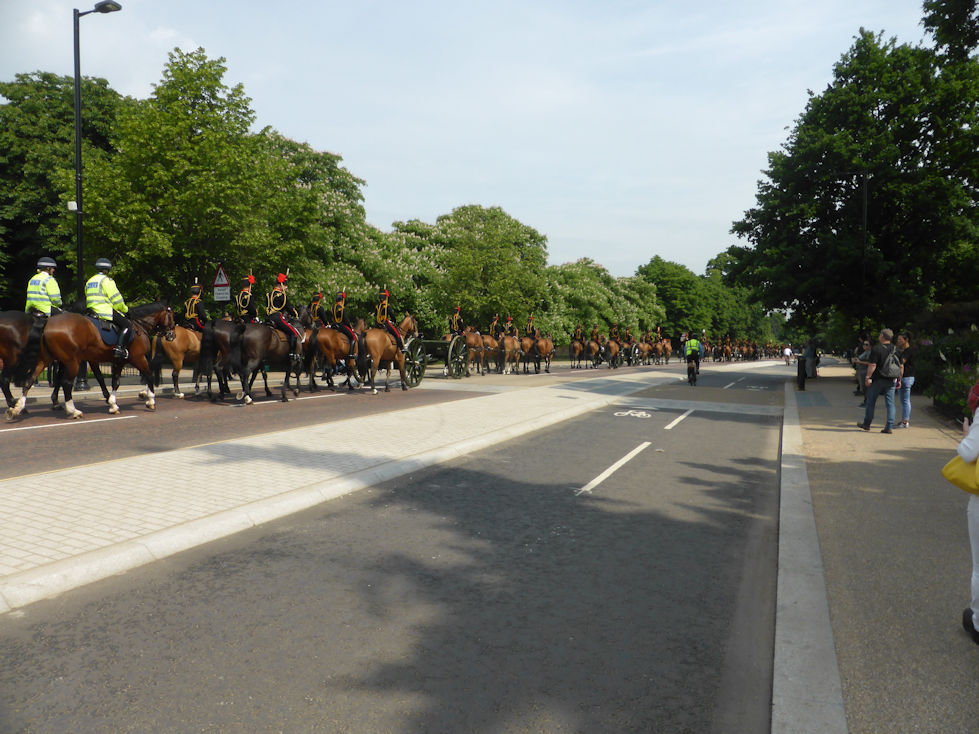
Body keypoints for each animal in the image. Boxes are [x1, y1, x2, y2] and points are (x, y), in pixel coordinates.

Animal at [7, 304, 174, 420]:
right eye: (171, 316)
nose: (172, 334)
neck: (138, 326)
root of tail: (47, 324)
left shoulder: (118, 362)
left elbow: (115, 382)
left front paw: (113, 404)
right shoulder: (138, 358)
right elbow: (148, 375)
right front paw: (150, 400)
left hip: (45, 359)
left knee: (30, 380)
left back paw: (17, 408)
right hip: (72, 361)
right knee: (67, 384)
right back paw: (73, 410)